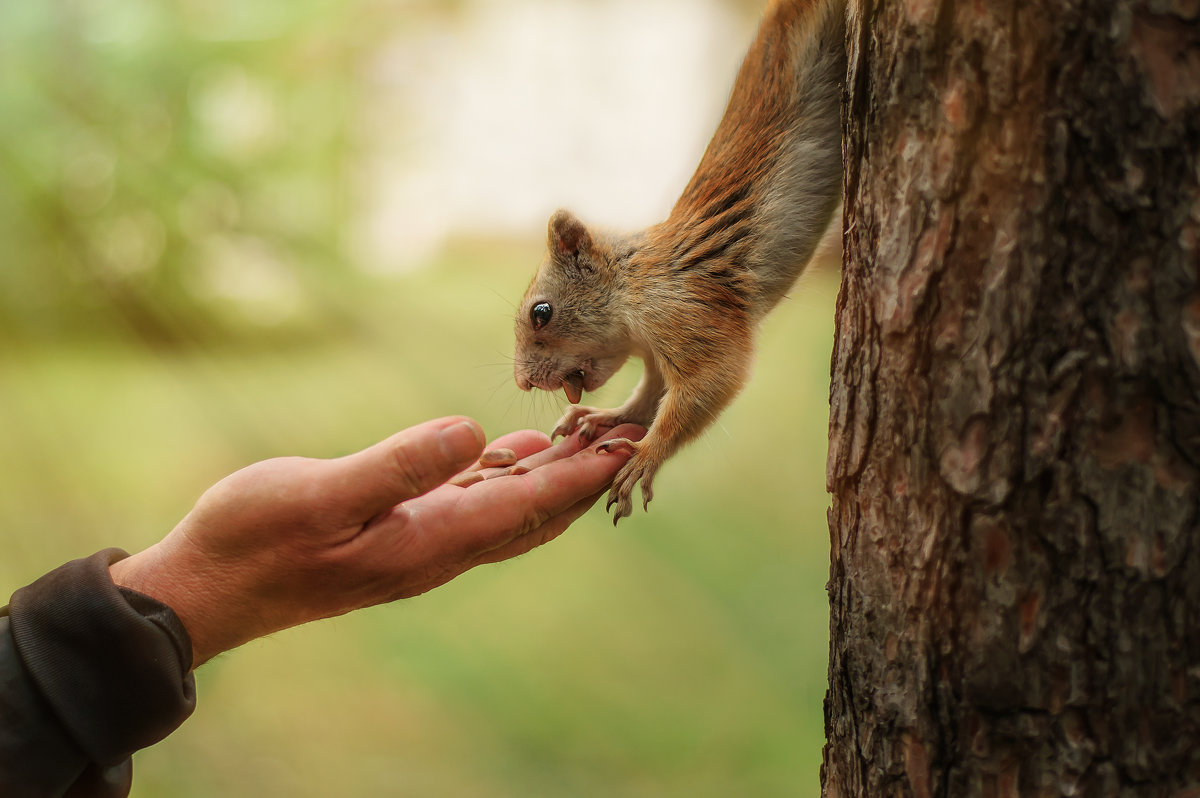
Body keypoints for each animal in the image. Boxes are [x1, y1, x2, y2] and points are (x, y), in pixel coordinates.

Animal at [513, 0, 844, 520]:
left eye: (541, 313)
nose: (523, 382)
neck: (630, 289)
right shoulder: (653, 353)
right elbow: (649, 397)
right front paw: (605, 416)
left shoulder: (681, 310)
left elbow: (714, 377)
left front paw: (645, 456)